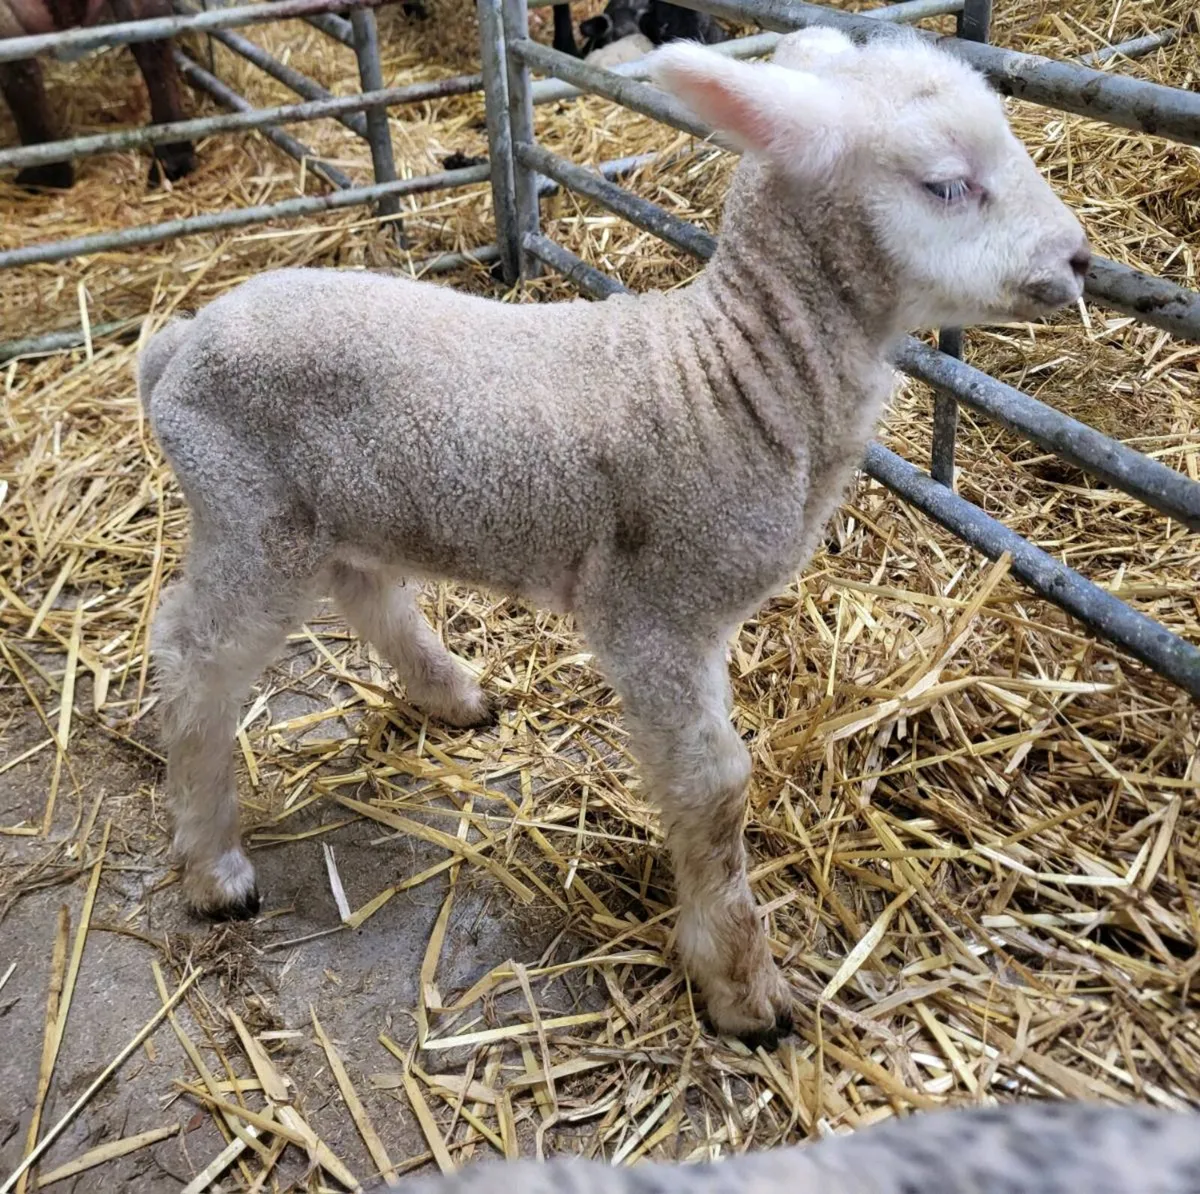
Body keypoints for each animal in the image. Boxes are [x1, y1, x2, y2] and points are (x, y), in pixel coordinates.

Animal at [137, 27, 1090, 1046]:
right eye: (948, 185)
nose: (1079, 260)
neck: (734, 376)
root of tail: (178, 345)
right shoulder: (654, 612)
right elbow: (715, 789)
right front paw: (740, 984)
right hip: (250, 511)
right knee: (193, 660)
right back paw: (214, 868)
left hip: (341, 514)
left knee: (367, 592)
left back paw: (453, 696)